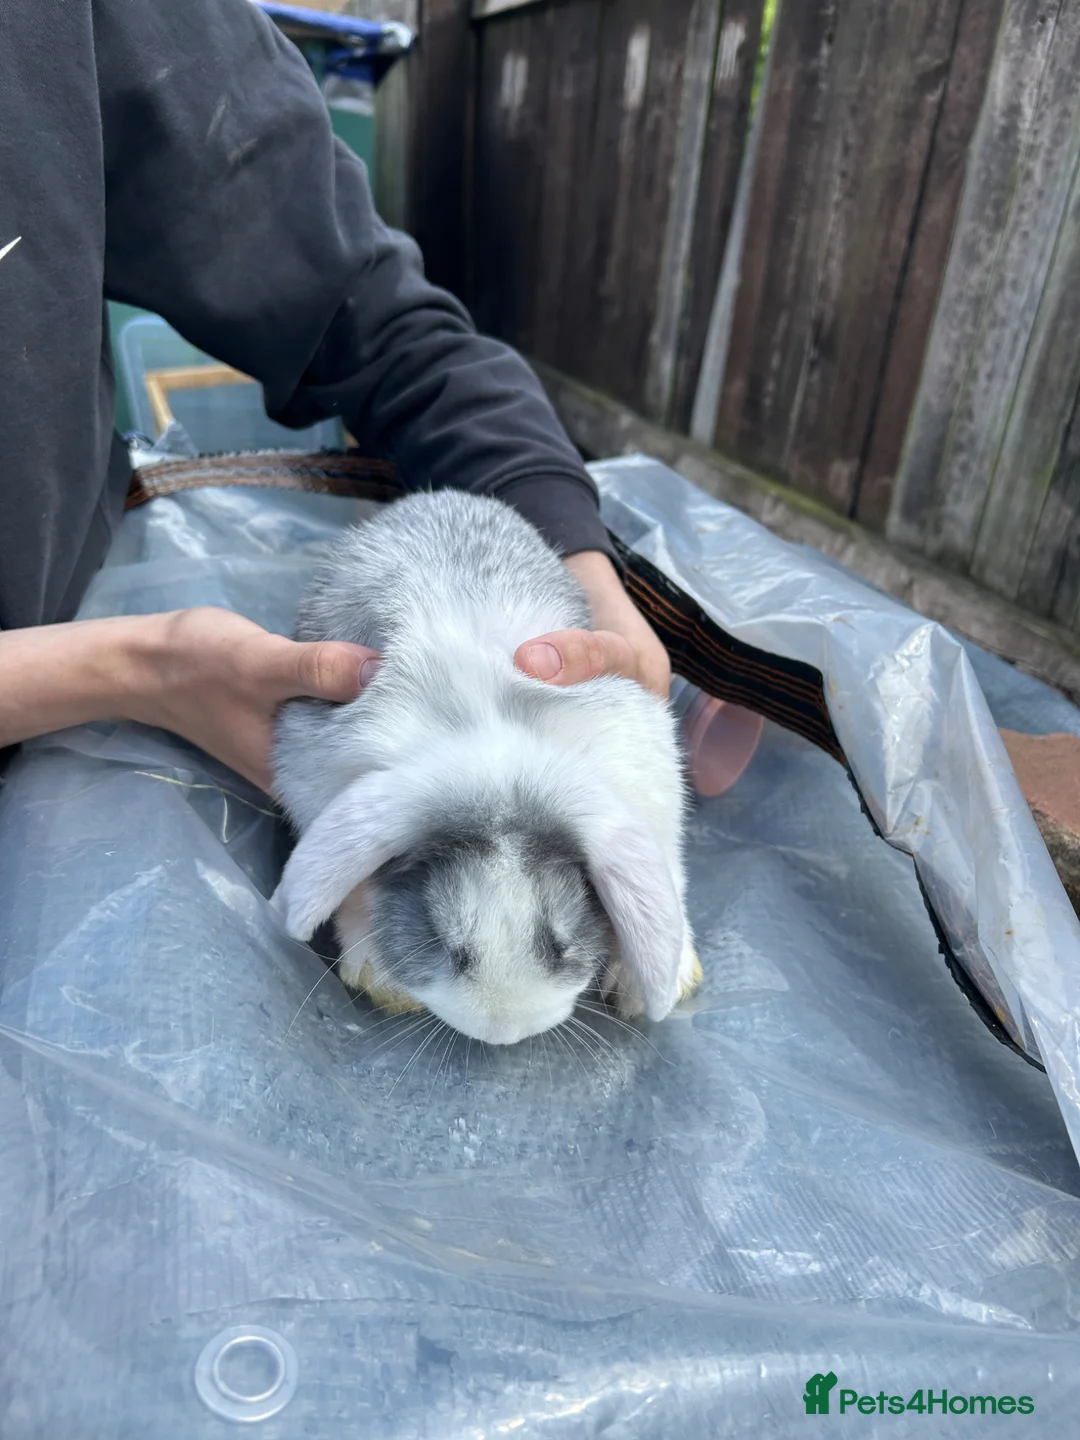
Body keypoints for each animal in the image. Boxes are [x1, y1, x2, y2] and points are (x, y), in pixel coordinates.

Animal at [270, 487, 699, 1046]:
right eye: (445, 941)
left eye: (560, 944)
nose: (504, 1032)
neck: (497, 759)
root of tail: (445, 495)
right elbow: (357, 893)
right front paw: (379, 977)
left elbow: (670, 878)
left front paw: (658, 979)